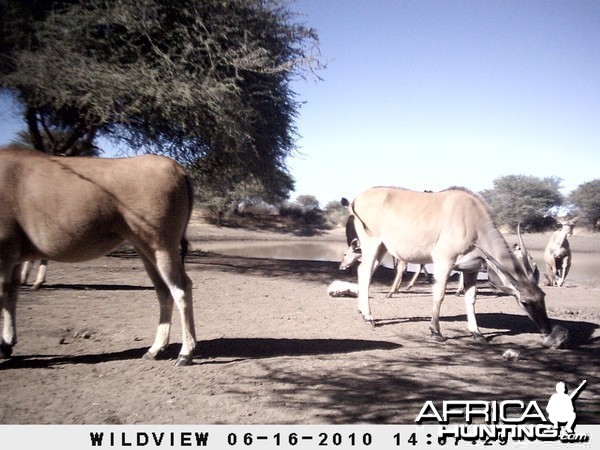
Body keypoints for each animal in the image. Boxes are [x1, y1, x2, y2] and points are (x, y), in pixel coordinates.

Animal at [0, 148, 197, 366]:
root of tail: (179, 170)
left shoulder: (5, 256)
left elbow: (4, 296)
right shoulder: (13, 260)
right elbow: (12, 295)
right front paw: (7, 344)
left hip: (162, 248)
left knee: (181, 288)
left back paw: (185, 354)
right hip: (146, 250)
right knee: (164, 291)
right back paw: (155, 349)